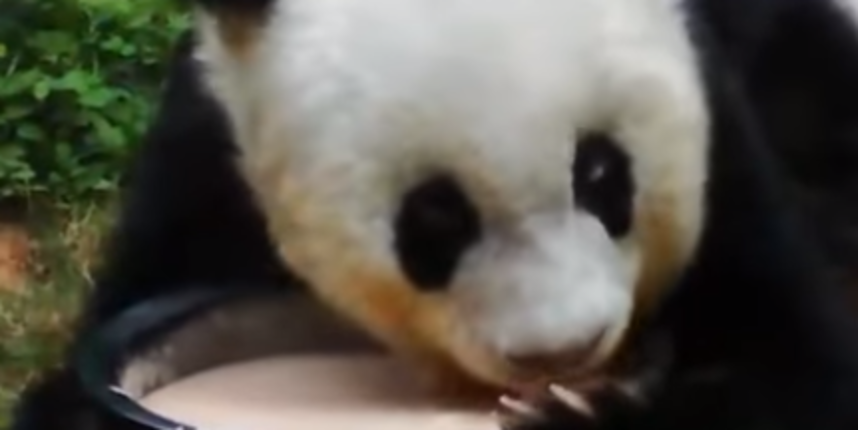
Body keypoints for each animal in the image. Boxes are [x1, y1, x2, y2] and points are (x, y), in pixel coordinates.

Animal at [11, 0, 858, 429]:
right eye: (435, 220)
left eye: (602, 174)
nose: (560, 352)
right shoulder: (213, 147)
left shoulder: (728, 108)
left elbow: (799, 375)